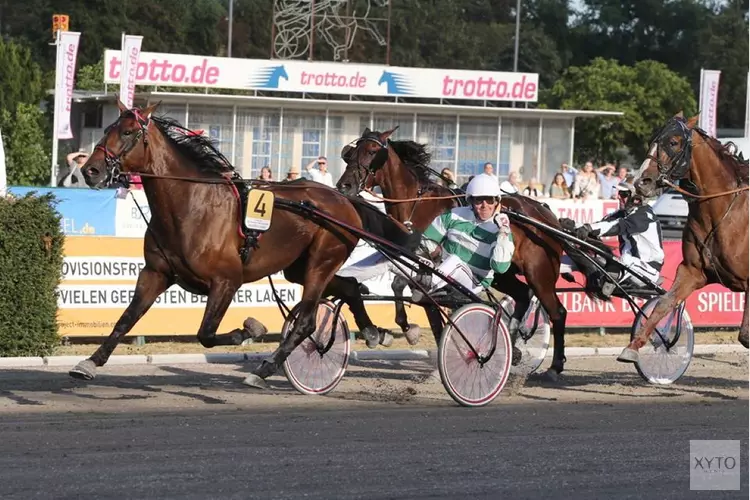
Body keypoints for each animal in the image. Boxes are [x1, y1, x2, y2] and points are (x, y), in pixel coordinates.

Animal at [72, 100, 418, 386]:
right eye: (107, 130)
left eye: (128, 132)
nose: (90, 170)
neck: (191, 204)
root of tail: (343, 199)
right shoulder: (155, 273)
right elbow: (125, 319)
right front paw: (90, 362)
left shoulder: (227, 280)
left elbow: (206, 333)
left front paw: (249, 331)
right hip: (300, 267)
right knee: (349, 286)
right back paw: (373, 332)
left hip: (321, 262)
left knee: (306, 322)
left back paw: (265, 368)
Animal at [338, 127, 604, 380]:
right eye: (350, 153)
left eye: (373, 151)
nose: (344, 186)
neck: (417, 204)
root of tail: (547, 215)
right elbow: (408, 294)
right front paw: (409, 331)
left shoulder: (432, 262)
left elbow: (416, 292)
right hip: (503, 275)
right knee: (523, 295)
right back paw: (513, 347)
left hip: (539, 273)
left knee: (557, 312)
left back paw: (555, 366)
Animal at [620, 112, 748, 364]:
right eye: (652, 140)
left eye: (673, 142)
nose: (642, 182)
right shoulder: (692, 272)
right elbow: (664, 303)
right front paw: (633, 346)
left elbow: (745, 336)